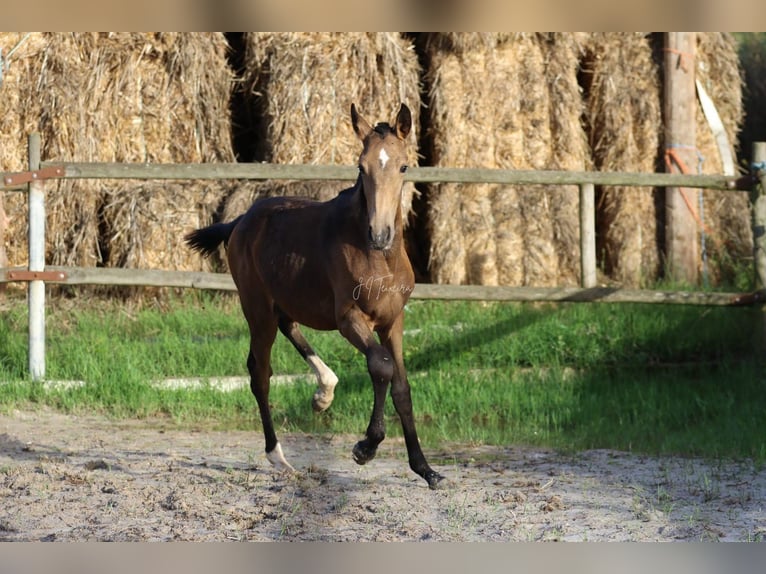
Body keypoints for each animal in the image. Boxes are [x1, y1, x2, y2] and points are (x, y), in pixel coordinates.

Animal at [186, 103, 448, 490]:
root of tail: (241, 220)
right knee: (259, 372)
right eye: (361, 166)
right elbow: (381, 365)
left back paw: (324, 391)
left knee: (289, 327)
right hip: (256, 308)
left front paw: (425, 468)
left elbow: (402, 387)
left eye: (404, 166)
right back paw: (278, 457)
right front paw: (365, 447)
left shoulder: (393, 321)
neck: (378, 257)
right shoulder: (349, 318)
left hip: (285, 300)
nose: (380, 234)